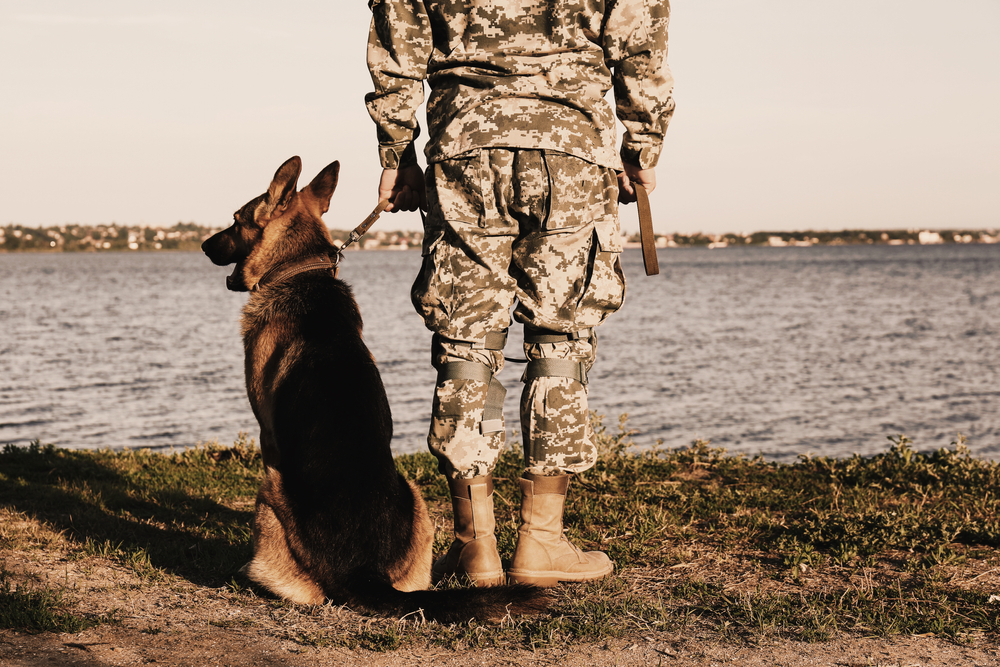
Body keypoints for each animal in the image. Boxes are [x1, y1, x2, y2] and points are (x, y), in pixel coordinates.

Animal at [202, 159, 544, 624]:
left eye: (237, 220)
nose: (203, 245)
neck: (301, 271)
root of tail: (364, 572)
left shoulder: (267, 435)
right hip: (417, 498)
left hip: (269, 491)